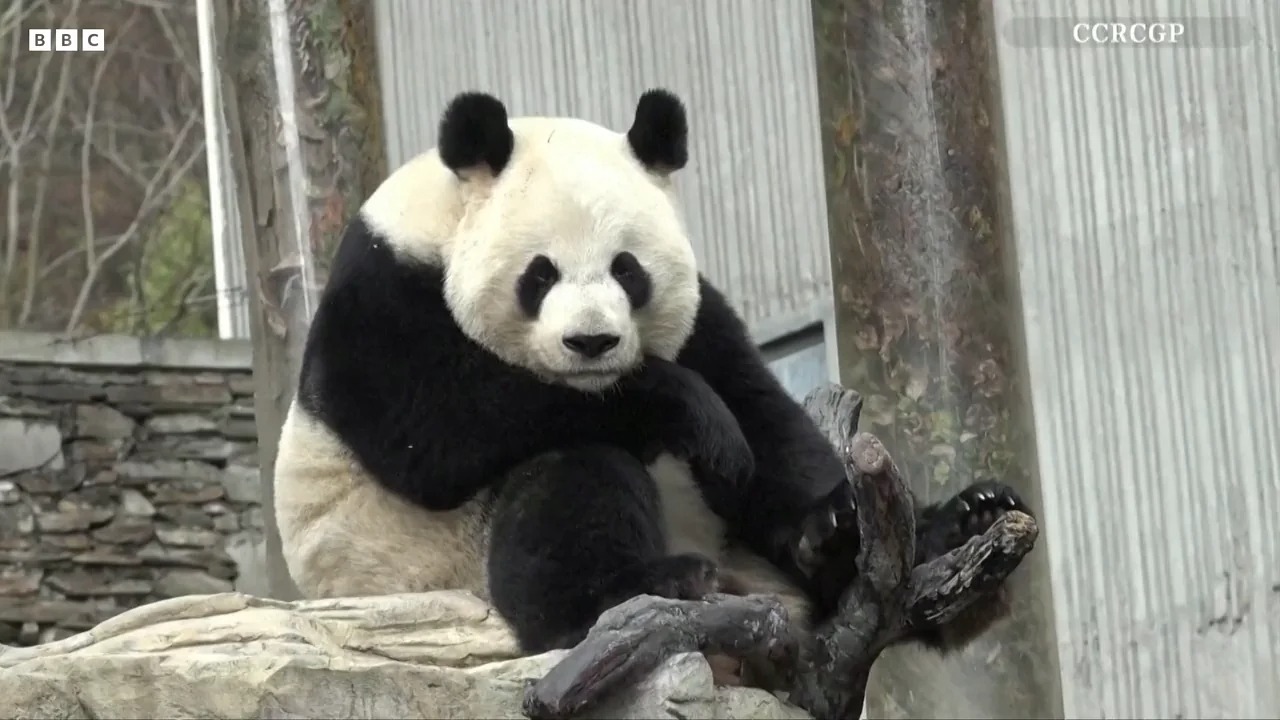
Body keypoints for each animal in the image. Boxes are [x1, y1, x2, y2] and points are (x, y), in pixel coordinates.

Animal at [273, 88, 1029, 667]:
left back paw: (943, 523)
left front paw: (840, 521)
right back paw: (634, 586)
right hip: (438, 566)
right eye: (539, 274)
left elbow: (760, 414)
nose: (592, 341)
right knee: (568, 479)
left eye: (627, 270)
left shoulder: (694, 318)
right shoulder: (384, 292)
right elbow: (436, 427)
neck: (442, 212)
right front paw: (690, 410)